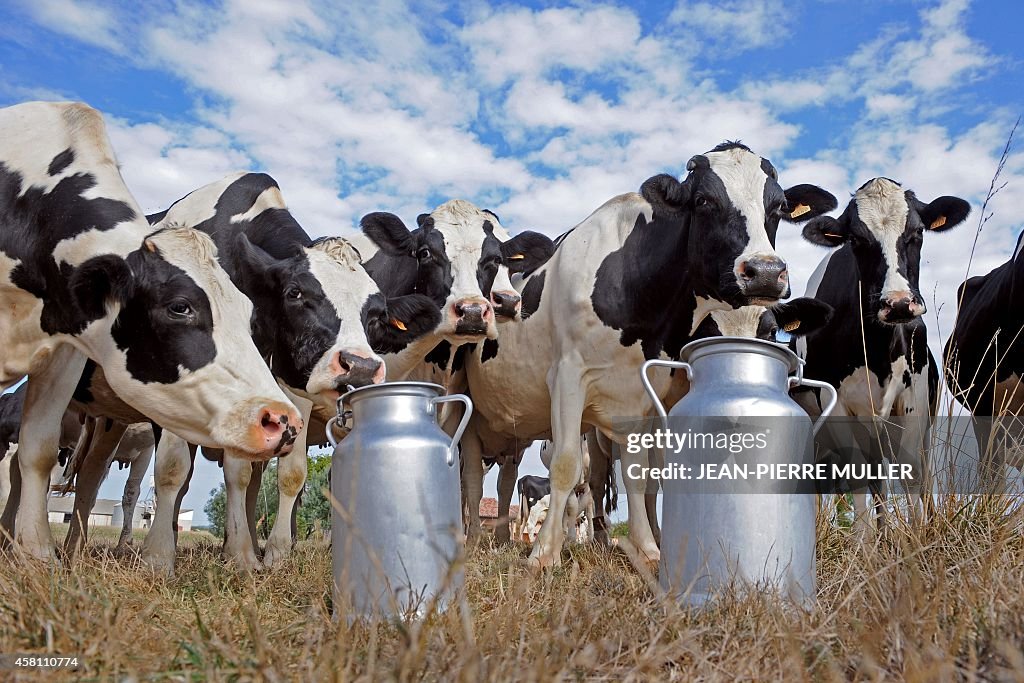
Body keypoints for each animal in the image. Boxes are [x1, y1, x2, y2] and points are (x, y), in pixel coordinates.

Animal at [0, 102, 303, 561]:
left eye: (249, 314)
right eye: (180, 306)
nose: (283, 420)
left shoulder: (66, 350)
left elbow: (39, 448)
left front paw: (37, 554)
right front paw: (160, 557)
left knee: (88, 477)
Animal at [464, 141, 839, 569]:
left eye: (777, 207)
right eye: (703, 200)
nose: (764, 272)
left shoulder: (639, 397)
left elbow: (640, 476)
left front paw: (647, 548)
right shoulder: (568, 377)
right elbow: (565, 466)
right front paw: (543, 554)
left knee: (506, 480)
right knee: (473, 479)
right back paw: (477, 539)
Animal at [794, 176, 970, 528]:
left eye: (917, 232)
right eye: (856, 239)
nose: (899, 303)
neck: (876, 351)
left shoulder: (914, 399)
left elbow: (911, 473)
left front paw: (916, 535)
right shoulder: (837, 408)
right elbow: (858, 478)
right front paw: (866, 541)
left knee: (920, 475)